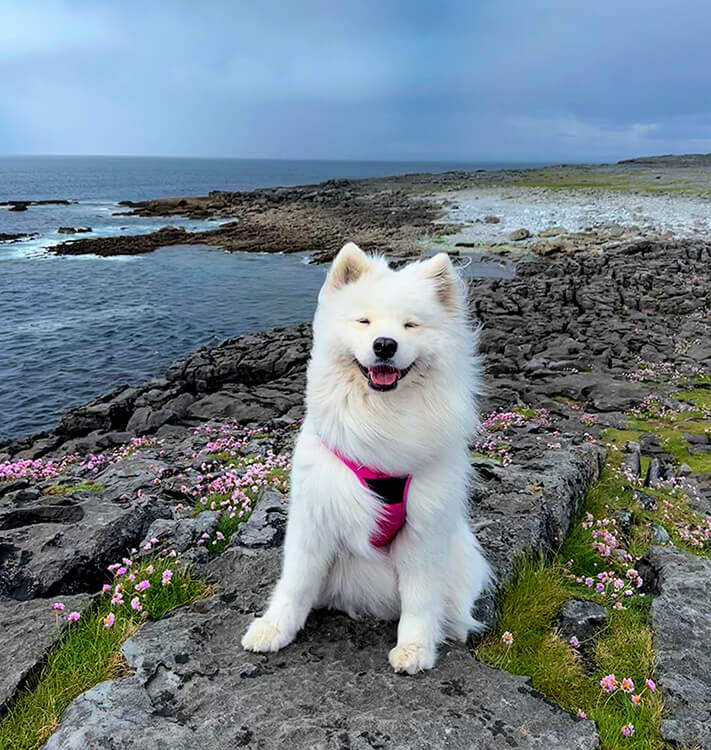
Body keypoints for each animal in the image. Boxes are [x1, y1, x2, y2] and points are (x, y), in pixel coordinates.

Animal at [242, 242, 492, 676]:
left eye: (410, 325)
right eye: (364, 321)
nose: (385, 344)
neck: (380, 422)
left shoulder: (424, 532)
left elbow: (420, 599)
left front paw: (414, 649)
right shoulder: (315, 516)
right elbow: (296, 583)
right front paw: (274, 629)